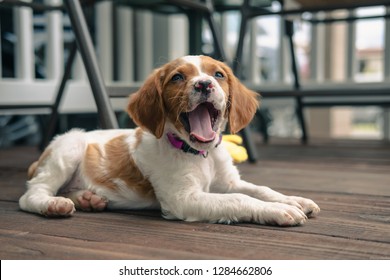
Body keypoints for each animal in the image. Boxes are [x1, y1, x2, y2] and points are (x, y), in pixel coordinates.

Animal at [19, 55, 320, 225]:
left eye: (218, 74)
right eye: (177, 77)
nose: (204, 84)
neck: (201, 154)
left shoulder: (228, 182)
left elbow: (260, 189)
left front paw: (294, 200)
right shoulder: (182, 198)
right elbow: (239, 199)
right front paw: (280, 210)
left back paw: (87, 199)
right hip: (67, 150)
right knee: (31, 194)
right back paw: (53, 204)